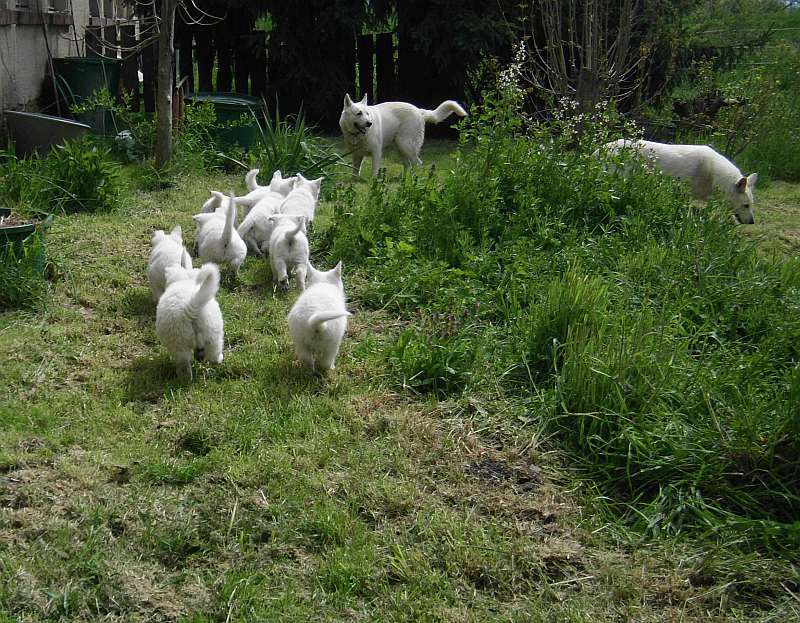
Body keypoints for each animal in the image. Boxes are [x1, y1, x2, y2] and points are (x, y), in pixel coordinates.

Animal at [340, 92, 468, 177]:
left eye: (367, 114)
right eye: (359, 113)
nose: (369, 123)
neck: (357, 135)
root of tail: (419, 111)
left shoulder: (376, 153)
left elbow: (374, 172)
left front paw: (374, 183)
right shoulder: (356, 155)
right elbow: (355, 171)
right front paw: (354, 183)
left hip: (406, 146)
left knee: (418, 164)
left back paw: (415, 180)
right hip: (401, 148)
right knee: (408, 165)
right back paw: (405, 179)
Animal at [600, 139, 756, 224]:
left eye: (750, 205)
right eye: (746, 205)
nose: (751, 222)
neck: (713, 175)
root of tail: (601, 148)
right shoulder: (685, 196)